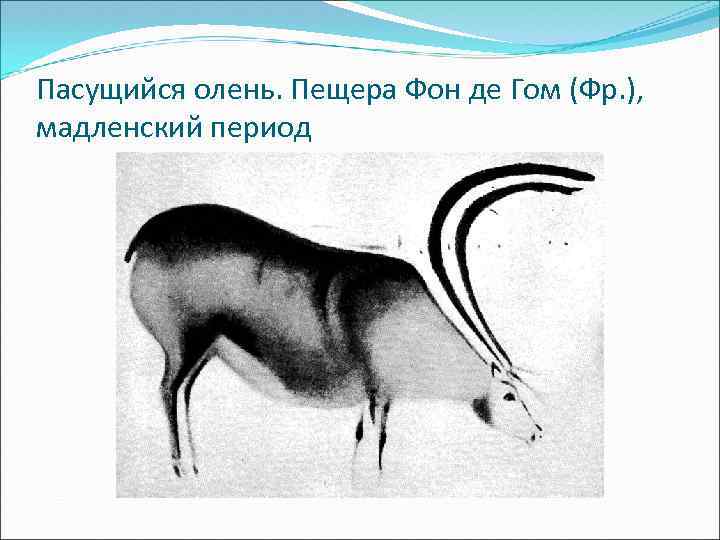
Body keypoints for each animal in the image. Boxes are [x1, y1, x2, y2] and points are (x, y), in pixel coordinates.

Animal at [124, 163, 595, 477]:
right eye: (510, 395)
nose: (537, 433)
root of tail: (145, 237)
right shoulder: (375, 394)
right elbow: (373, 449)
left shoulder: (381, 401)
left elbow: (366, 445)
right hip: (185, 345)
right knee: (168, 390)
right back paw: (184, 469)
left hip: (203, 353)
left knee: (182, 393)